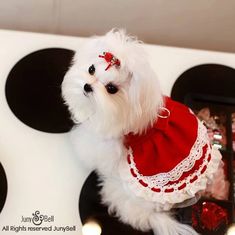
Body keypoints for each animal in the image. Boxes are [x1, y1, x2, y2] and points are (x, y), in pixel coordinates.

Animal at [61, 29, 225, 235]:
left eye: (111, 89)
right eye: (91, 69)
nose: (87, 86)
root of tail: (155, 214)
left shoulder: (106, 144)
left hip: (123, 189)